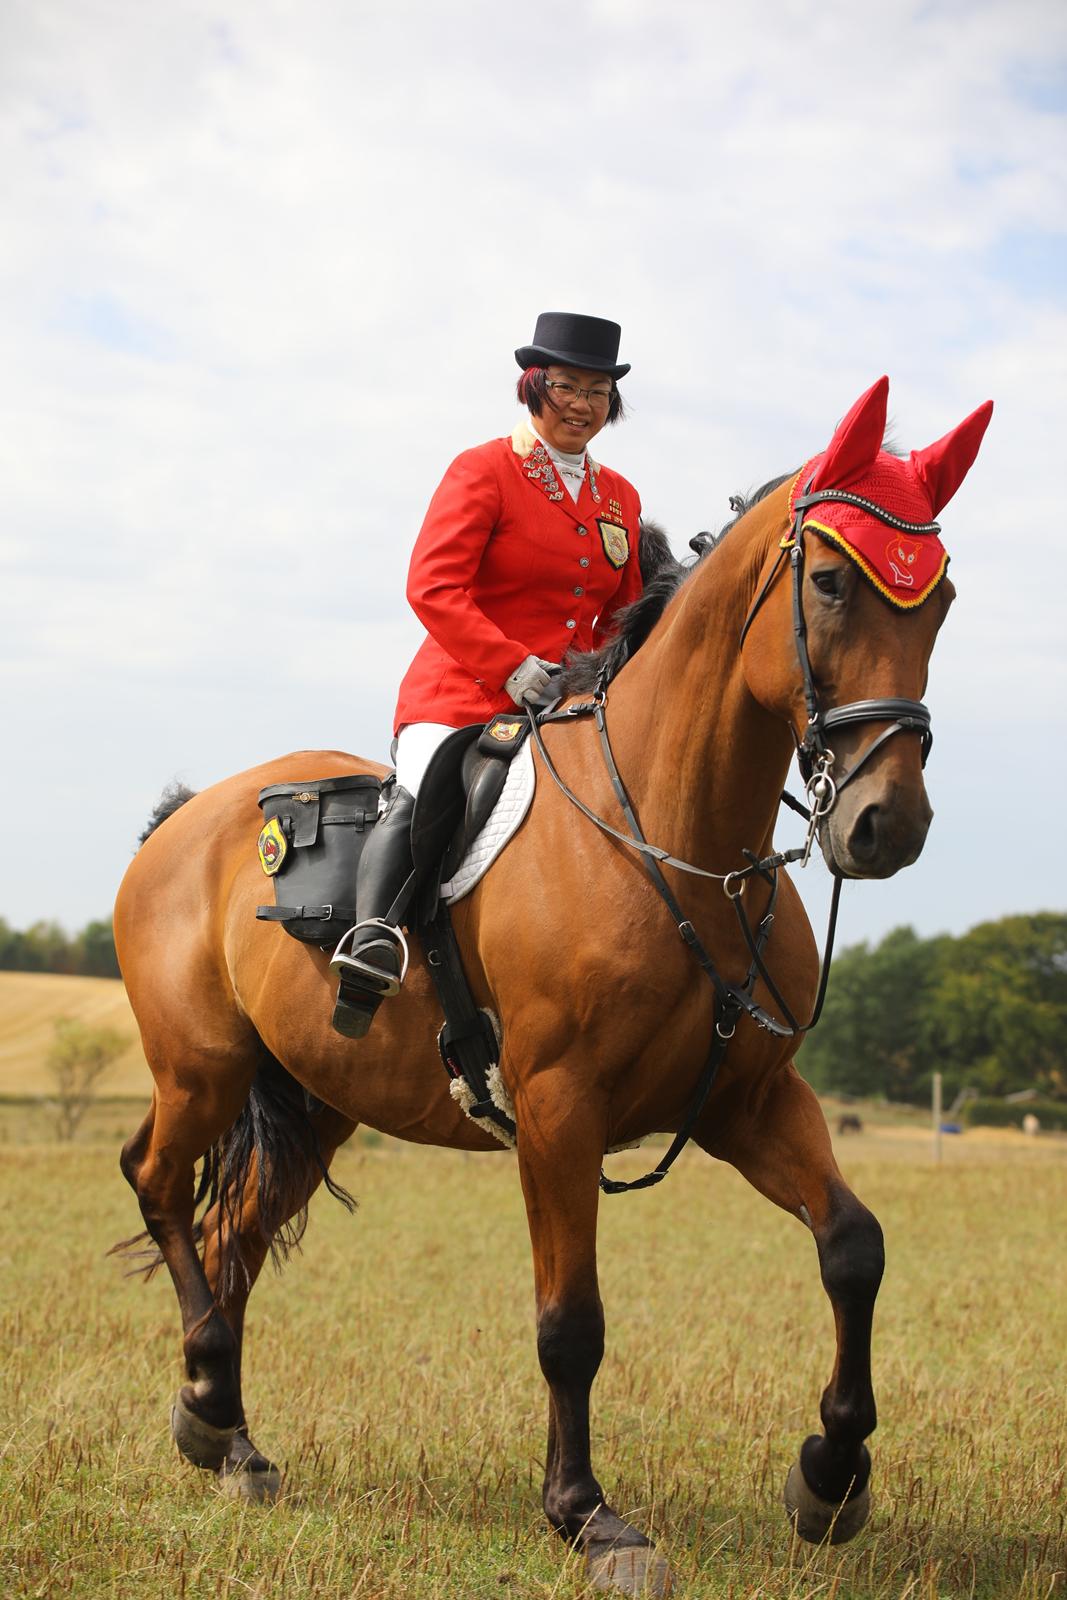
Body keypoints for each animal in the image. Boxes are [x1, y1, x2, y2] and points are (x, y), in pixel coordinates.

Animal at [113, 377, 991, 1596]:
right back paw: (203, 1393)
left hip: (319, 1100)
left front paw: (829, 1477)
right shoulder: (558, 1110)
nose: (885, 825)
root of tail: (188, 816)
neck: (675, 833)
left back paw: (230, 1437)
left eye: (939, 598)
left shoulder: (747, 1101)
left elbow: (852, 1248)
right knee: (155, 1180)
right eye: (826, 583)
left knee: (234, 1233)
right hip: (199, 1068)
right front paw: (587, 1515)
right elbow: (570, 1321)